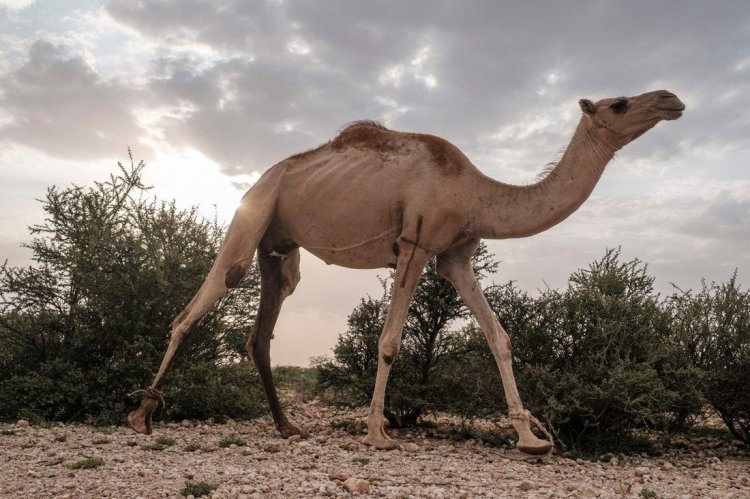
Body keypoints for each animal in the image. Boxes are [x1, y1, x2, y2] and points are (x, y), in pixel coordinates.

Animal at [128, 88, 688, 456]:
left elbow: (499, 337)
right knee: (206, 295)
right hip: (255, 210)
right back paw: (141, 415)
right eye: (620, 104)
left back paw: (287, 428)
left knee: (263, 326)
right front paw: (378, 434)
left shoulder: (455, 255)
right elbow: (390, 341)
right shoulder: (415, 245)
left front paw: (530, 438)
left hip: (280, 245)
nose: (671, 99)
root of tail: (264, 177)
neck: (477, 193)